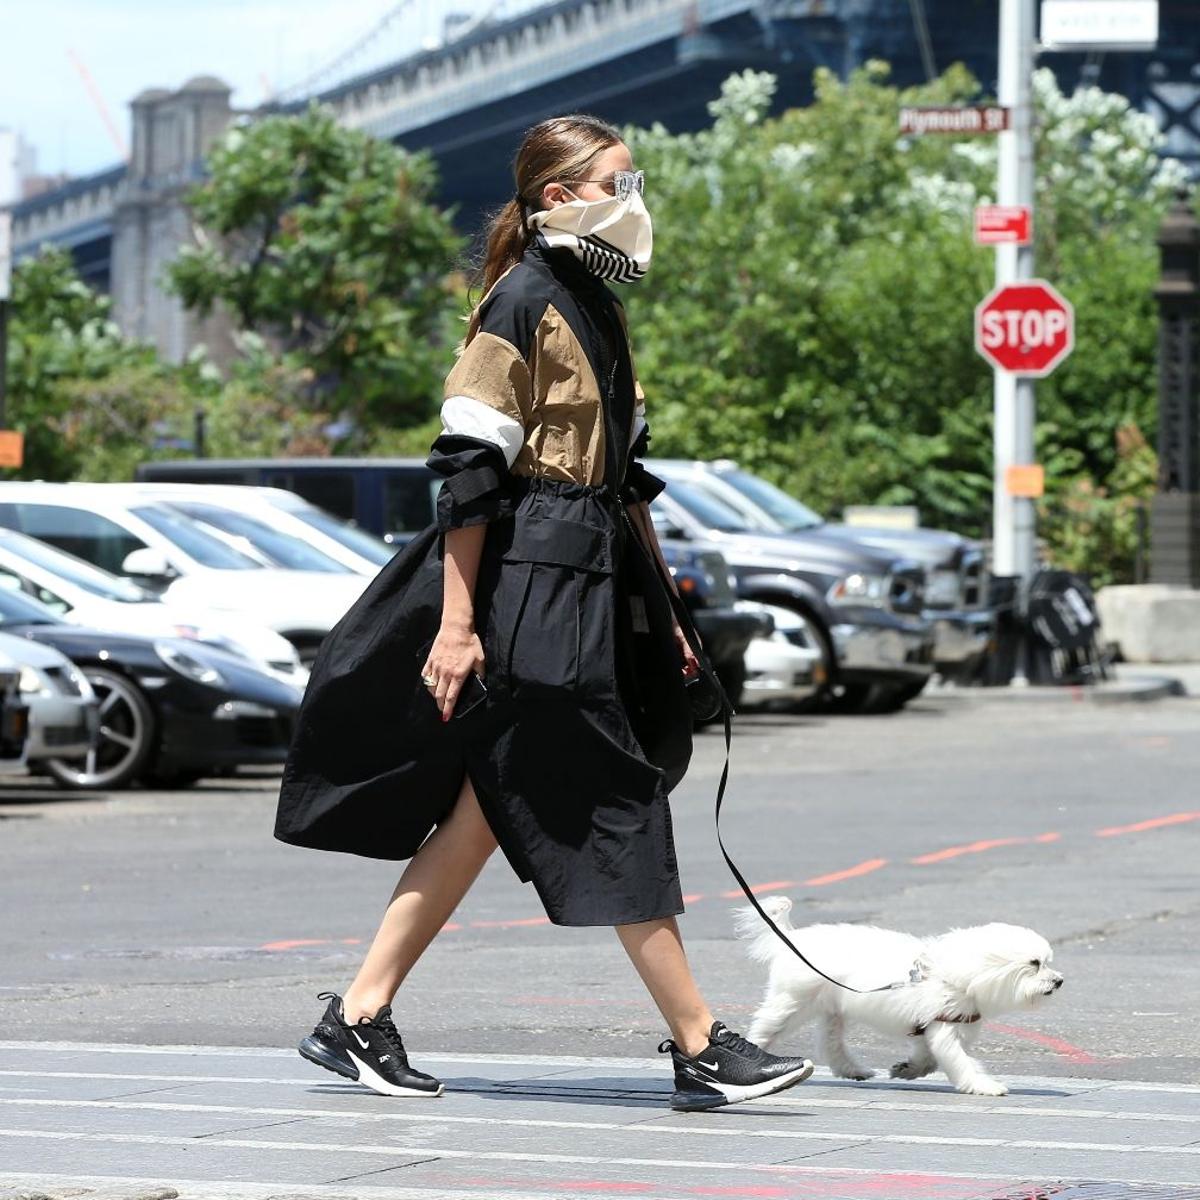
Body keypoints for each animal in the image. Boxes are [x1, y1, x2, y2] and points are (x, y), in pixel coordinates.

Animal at [734, 892, 1065, 1099]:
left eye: (1046, 961)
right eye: (1034, 963)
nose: (1059, 980)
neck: (961, 973)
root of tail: (791, 938)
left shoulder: (929, 1028)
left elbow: (928, 1060)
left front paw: (906, 1069)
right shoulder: (944, 1027)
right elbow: (959, 1061)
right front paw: (984, 1085)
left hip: (833, 1008)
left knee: (831, 1043)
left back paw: (853, 1069)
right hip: (791, 1002)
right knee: (766, 1028)